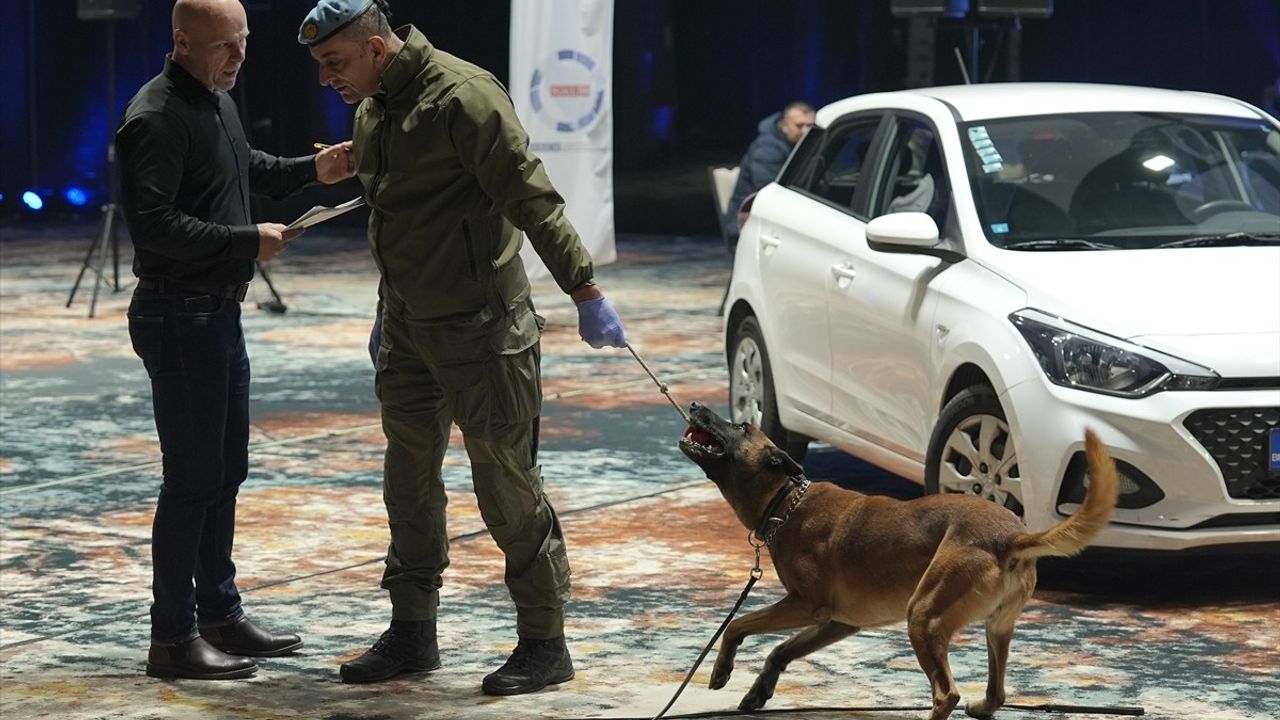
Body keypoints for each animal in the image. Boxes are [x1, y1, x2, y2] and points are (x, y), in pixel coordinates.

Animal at [675, 399, 1116, 712]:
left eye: (741, 426)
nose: (695, 405)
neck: (785, 499)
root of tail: (1011, 536)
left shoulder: (805, 605)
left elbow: (737, 625)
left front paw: (721, 670)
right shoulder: (839, 622)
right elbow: (781, 650)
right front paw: (758, 691)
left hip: (923, 615)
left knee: (946, 694)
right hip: (996, 629)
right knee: (996, 694)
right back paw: (982, 706)